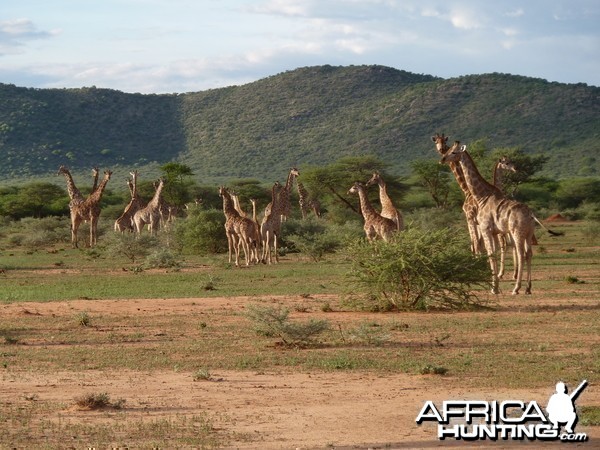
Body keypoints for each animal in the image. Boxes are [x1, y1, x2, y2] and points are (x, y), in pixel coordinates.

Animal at [438, 144, 536, 296]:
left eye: (453, 152)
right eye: (448, 150)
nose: (442, 159)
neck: (481, 196)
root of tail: (530, 215)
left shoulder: (485, 229)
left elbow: (490, 253)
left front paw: (494, 288)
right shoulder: (494, 231)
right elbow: (493, 253)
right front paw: (494, 284)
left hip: (516, 232)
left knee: (520, 254)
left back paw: (516, 288)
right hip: (528, 234)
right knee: (528, 254)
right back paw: (527, 288)